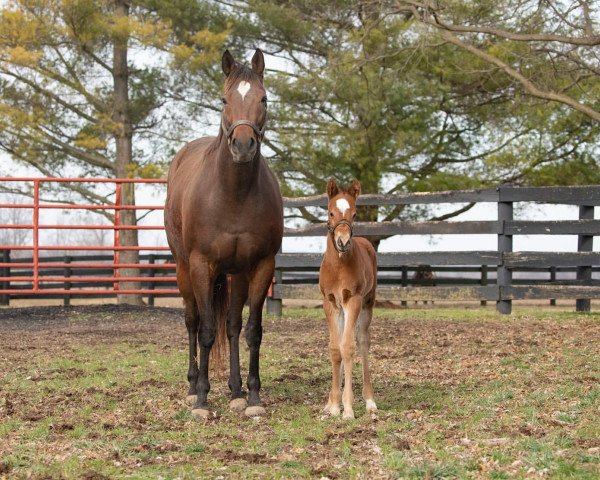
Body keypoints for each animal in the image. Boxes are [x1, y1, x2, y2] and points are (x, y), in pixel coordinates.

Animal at [164, 48, 284, 416]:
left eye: (264, 98)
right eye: (224, 99)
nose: (243, 146)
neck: (233, 195)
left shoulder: (260, 266)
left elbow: (251, 331)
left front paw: (253, 396)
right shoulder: (202, 265)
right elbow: (205, 331)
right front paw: (203, 399)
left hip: (235, 274)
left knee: (231, 327)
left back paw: (235, 391)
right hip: (184, 269)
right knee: (192, 321)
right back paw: (193, 387)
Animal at [316, 178, 378, 418]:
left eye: (354, 214)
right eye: (331, 212)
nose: (343, 241)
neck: (339, 266)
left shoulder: (354, 300)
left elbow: (349, 348)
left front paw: (348, 408)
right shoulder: (330, 302)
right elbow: (336, 349)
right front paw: (334, 405)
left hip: (367, 304)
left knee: (362, 341)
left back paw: (369, 400)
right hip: (342, 309)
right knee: (341, 342)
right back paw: (331, 402)